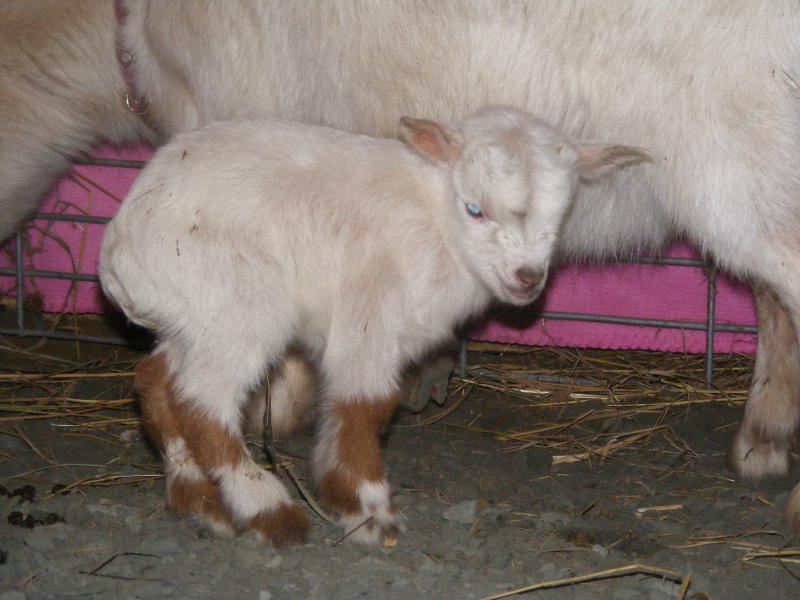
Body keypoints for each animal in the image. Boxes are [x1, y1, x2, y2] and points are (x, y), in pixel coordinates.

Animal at [99, 108, 648, 545]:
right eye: (474, 208)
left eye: (562, 216)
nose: (527, 278)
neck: (435, 216)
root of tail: (119, 252)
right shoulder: (370, 319)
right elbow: (365, 406)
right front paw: (368, 510)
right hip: (239, 306)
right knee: (202, 401)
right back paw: (266, 509)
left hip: (193, 316)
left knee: (156, 380)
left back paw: (197, 499)